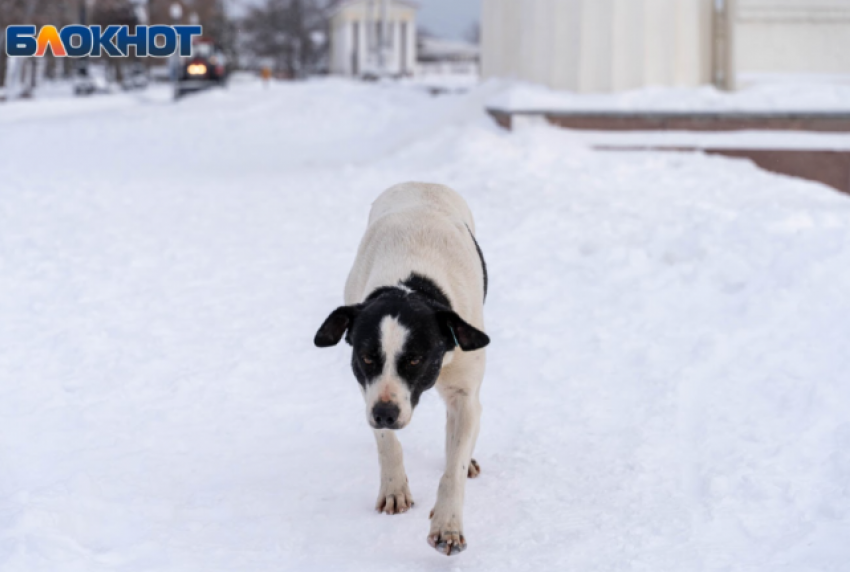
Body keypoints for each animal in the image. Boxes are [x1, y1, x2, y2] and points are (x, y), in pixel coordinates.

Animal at [314, 182, 486, 556]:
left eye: (415, 359)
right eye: (366, 358)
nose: (386, 414)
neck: (410, 287)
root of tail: (422, 183)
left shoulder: (463, 393)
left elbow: (454, 466)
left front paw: (447, 525)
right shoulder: (369, 389)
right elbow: (386, 442)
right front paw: (394, 488)